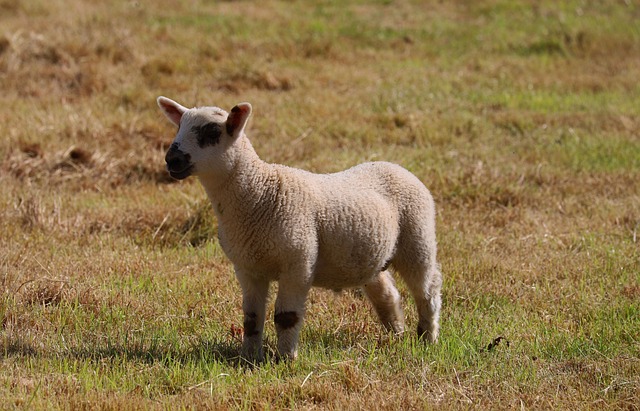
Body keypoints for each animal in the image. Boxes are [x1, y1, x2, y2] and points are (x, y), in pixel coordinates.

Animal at [158, 96, 442, 360]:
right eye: (179, 127)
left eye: (212, 133)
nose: (172, 159)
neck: (259, 193)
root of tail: (396, 167)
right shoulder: (247, 267)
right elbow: (251, 318)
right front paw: (248, 357)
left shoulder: (298, 261)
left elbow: (286, 316)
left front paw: (285, 359)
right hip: (368, 253)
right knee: (386, 292)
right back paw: (397, 333)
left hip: (418, 237)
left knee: (428, 289)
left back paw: (427, 338)